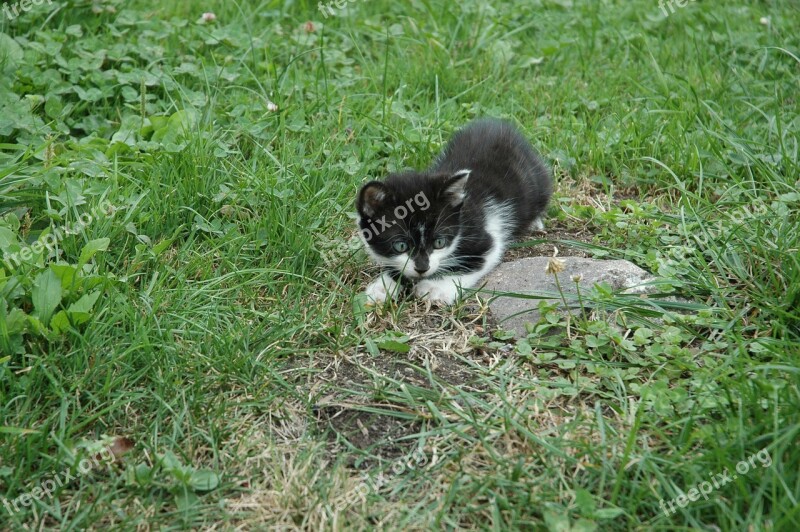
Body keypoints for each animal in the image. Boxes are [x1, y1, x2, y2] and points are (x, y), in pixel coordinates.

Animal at [354, 119, 552, 306]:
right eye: (400, 245)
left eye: (440, 242)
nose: (422, 268)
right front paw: (384, 286)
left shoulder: (486, 238)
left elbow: (473, 264)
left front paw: (436, 289)